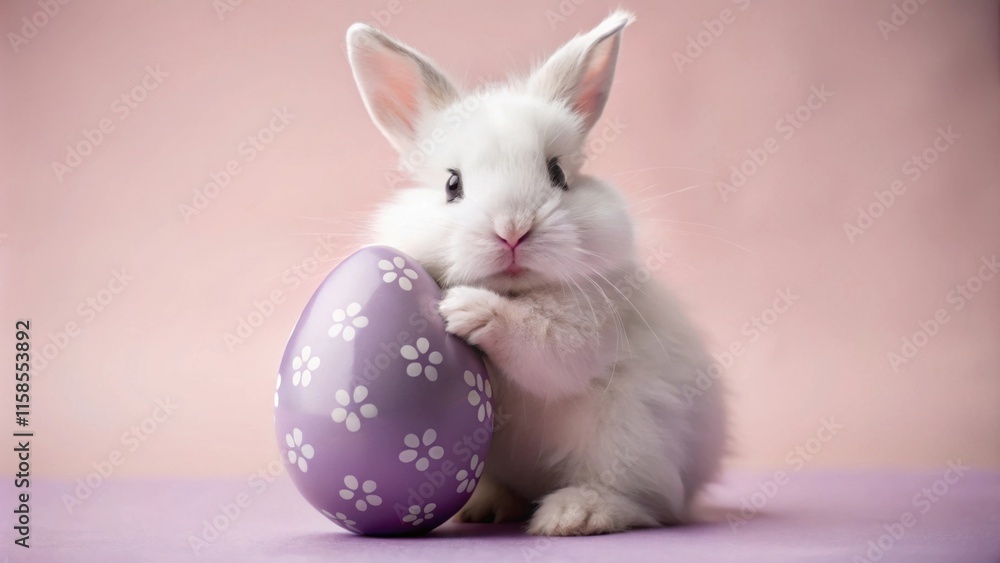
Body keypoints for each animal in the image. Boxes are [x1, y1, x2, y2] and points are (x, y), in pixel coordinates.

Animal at [345, 9, 727, 536]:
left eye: (558, 174)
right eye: (451, 184)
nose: (512, 231)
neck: (516, 290)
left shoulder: (583, 331)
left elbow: (540, 343)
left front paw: (466, 309)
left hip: (629, 435)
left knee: (646, 502)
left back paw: (575, 513)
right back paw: (484, 506)